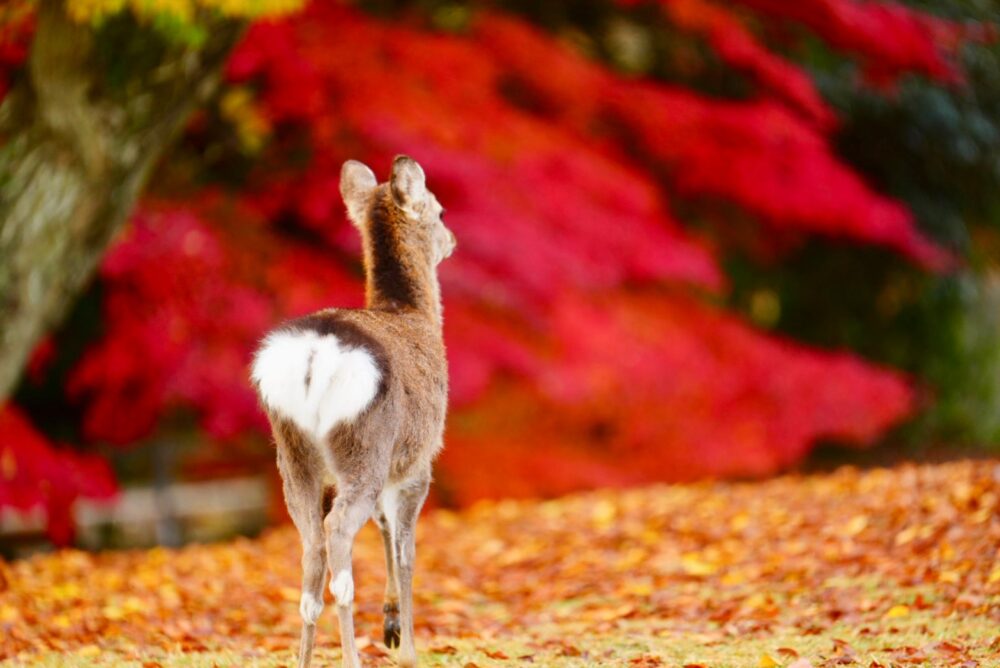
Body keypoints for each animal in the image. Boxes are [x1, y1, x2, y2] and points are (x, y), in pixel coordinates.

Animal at [250, 155, 456, 668]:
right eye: (440, 210)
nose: (452, 240)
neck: (411, 313)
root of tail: (314, 355)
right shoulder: (417, 460)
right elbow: (406, 551)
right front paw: (408, 647)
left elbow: (383, 529)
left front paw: (392, 626)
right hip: (364, 444)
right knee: (338, 535)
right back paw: (351, 657)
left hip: (294, 454)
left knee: (311, 551)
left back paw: (303, 661)